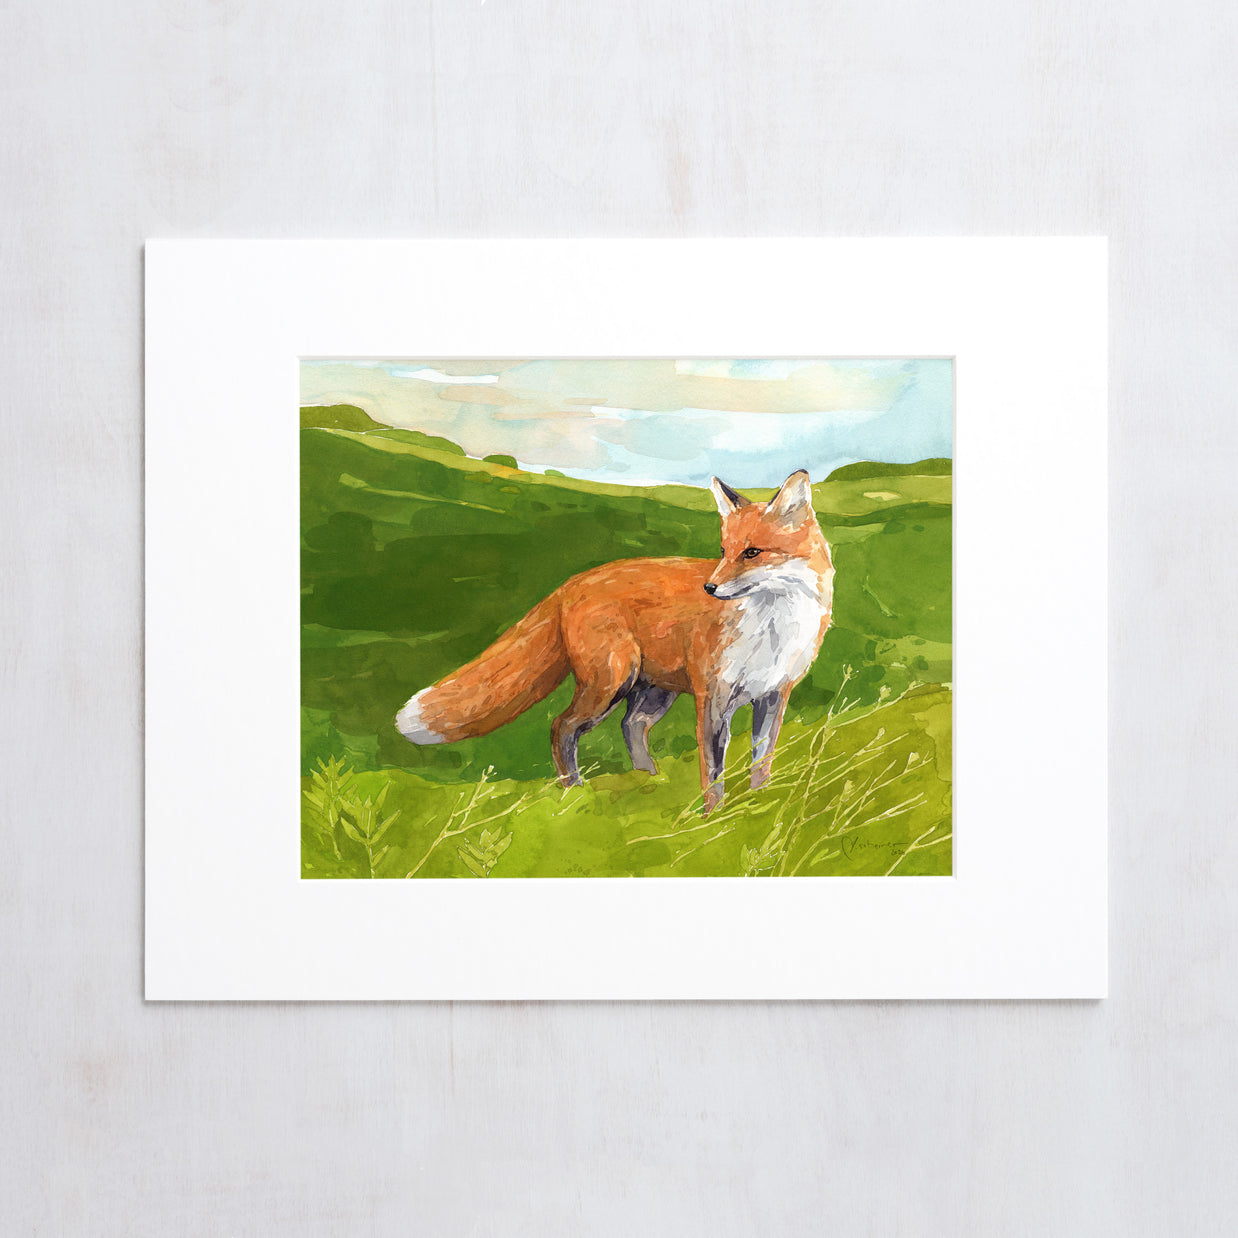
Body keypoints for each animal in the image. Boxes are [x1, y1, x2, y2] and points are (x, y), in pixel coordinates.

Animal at [396, 470, 834, 813]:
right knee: (562, 726)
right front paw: (714, 817)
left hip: (653, 690)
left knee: (631, 726)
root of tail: (571, 583)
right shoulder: (713, 698)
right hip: (611, 681)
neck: (772, 629)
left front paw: (760, 803)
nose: (709, 588)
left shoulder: (774, 694)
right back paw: (574, 791)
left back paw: (648, 782)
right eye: (724, 551)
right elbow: (713, 771)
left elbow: (762, 759)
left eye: (753, 552)